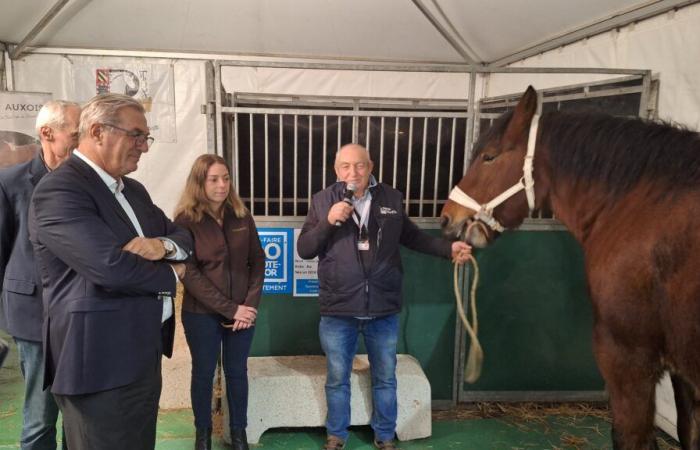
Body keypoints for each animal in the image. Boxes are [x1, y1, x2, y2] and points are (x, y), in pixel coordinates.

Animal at [440, 86, 700, 448]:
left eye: (489, 157)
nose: (447, 218)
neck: (637, 205)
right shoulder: (681, 372)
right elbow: (689, 432)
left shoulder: (627, 356)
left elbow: (631, 435)